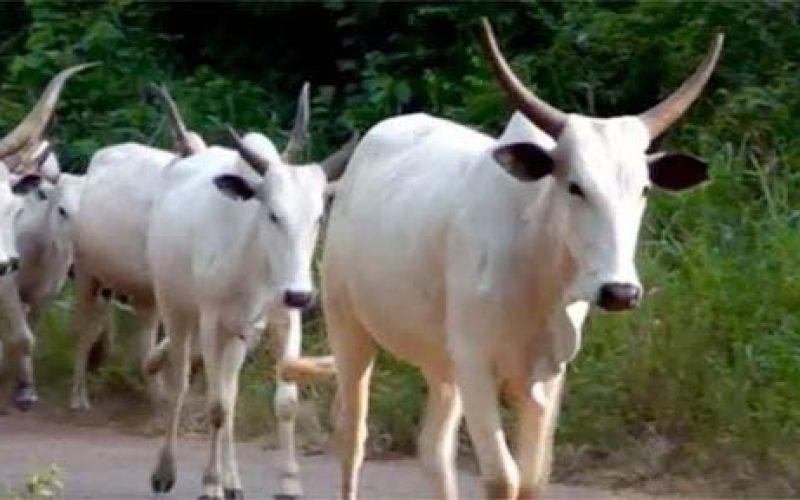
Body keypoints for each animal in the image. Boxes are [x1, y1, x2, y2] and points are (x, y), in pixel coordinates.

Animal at [146, 123, 357, 500]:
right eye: (273, 214)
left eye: (318, 217)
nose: (300, 294)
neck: (255, 257)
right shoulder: (211, 321)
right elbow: (215, 406)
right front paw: (209, 484)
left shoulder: (283, 319)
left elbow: (284, 402)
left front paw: (289, 483)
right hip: (176, 309)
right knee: (181, 384)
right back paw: (166, 471)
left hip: (239, 335)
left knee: (230, 392)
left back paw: (233, 482)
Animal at [315, 19, 724, 500]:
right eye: (575, 186)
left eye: (643, 188)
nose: (621, 292)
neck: (536, 273)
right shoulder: (476, 364)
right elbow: (502, 476)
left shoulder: (546, 376)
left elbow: (530, 480)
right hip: (347, 324)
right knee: (352, 433)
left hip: (441, 362)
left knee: (434, 450)